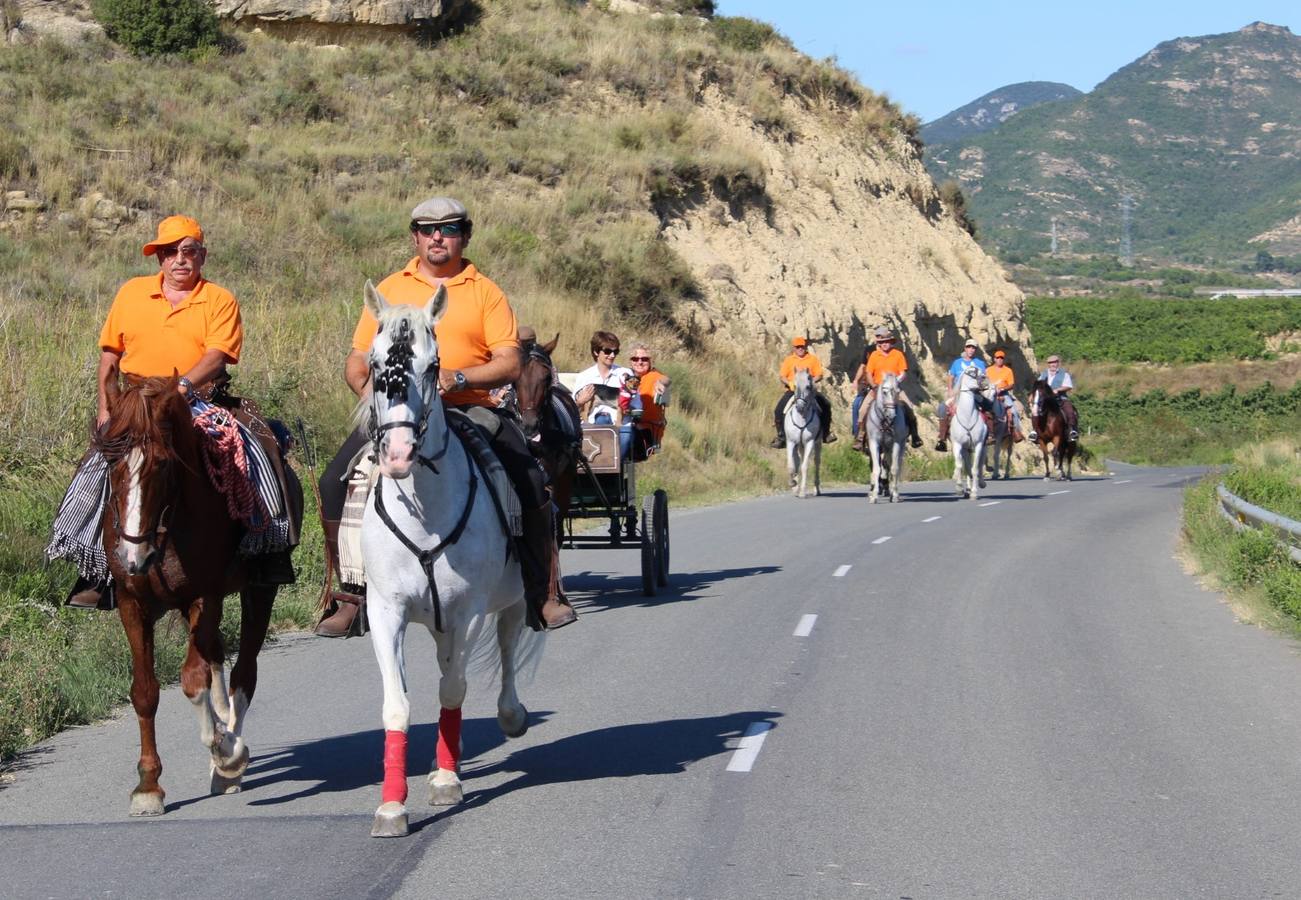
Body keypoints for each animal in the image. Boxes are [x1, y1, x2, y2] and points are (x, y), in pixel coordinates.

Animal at [97, 371, 291, 816]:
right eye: (111, 462)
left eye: (163, 463)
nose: (132, 557)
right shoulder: (133, 605)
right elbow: (145, 692)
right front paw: (148, 786)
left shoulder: (206, 596)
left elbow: (191, 681)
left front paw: (228, 753)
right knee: (217, 658)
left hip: (260, 591)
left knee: (243, 672)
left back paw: (228, 757)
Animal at [780, 366, 822, 499]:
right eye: (795, 385)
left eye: (808, 386)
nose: (799, 407)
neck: (801, 417)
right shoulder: (791, 442)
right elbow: (791, 465)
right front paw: (793, 484)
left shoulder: (810, 442)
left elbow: (805, 466)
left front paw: (802, 491)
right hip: (799, 445)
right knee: (798, 461)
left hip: (817, 443)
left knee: (816, 463)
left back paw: (816, 489)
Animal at [863, 369, 905, 502]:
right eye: (884, 391)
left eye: (898, 391)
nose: (891, 415)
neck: (885, 421)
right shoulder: (873, 443)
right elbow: (876, 469)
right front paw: (874, 496)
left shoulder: (896, 443)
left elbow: (894, 469)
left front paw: (895, 495)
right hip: (884, 447)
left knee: (895, 465)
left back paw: (893, 492)